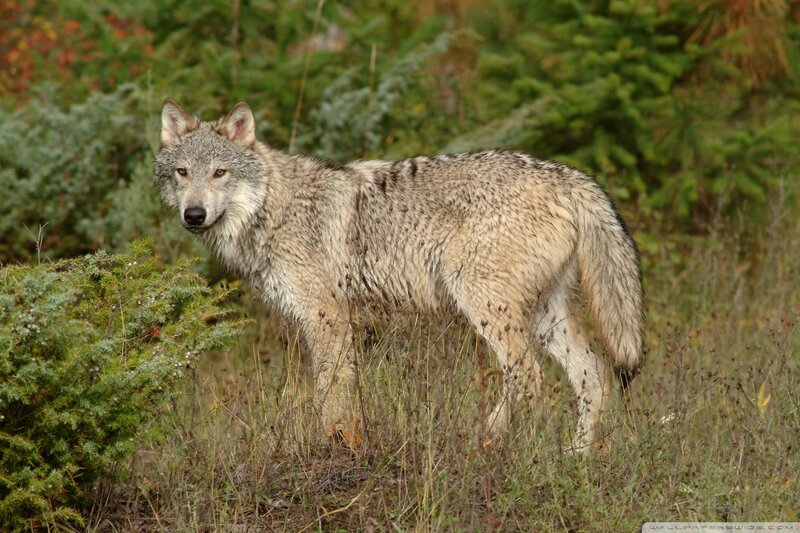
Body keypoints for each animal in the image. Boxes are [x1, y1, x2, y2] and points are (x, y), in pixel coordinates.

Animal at [154, 99, 645, 451]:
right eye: (183, 173)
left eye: (220, 173)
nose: (193, 215)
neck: (274, 209)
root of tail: (567, 175)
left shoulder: (327, 319)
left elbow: (330, 396)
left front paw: (332, 448)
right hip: (546, 318)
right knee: (595, 378)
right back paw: (575, 461)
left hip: (486, 306)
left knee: (528, 378)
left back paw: (488, 440)